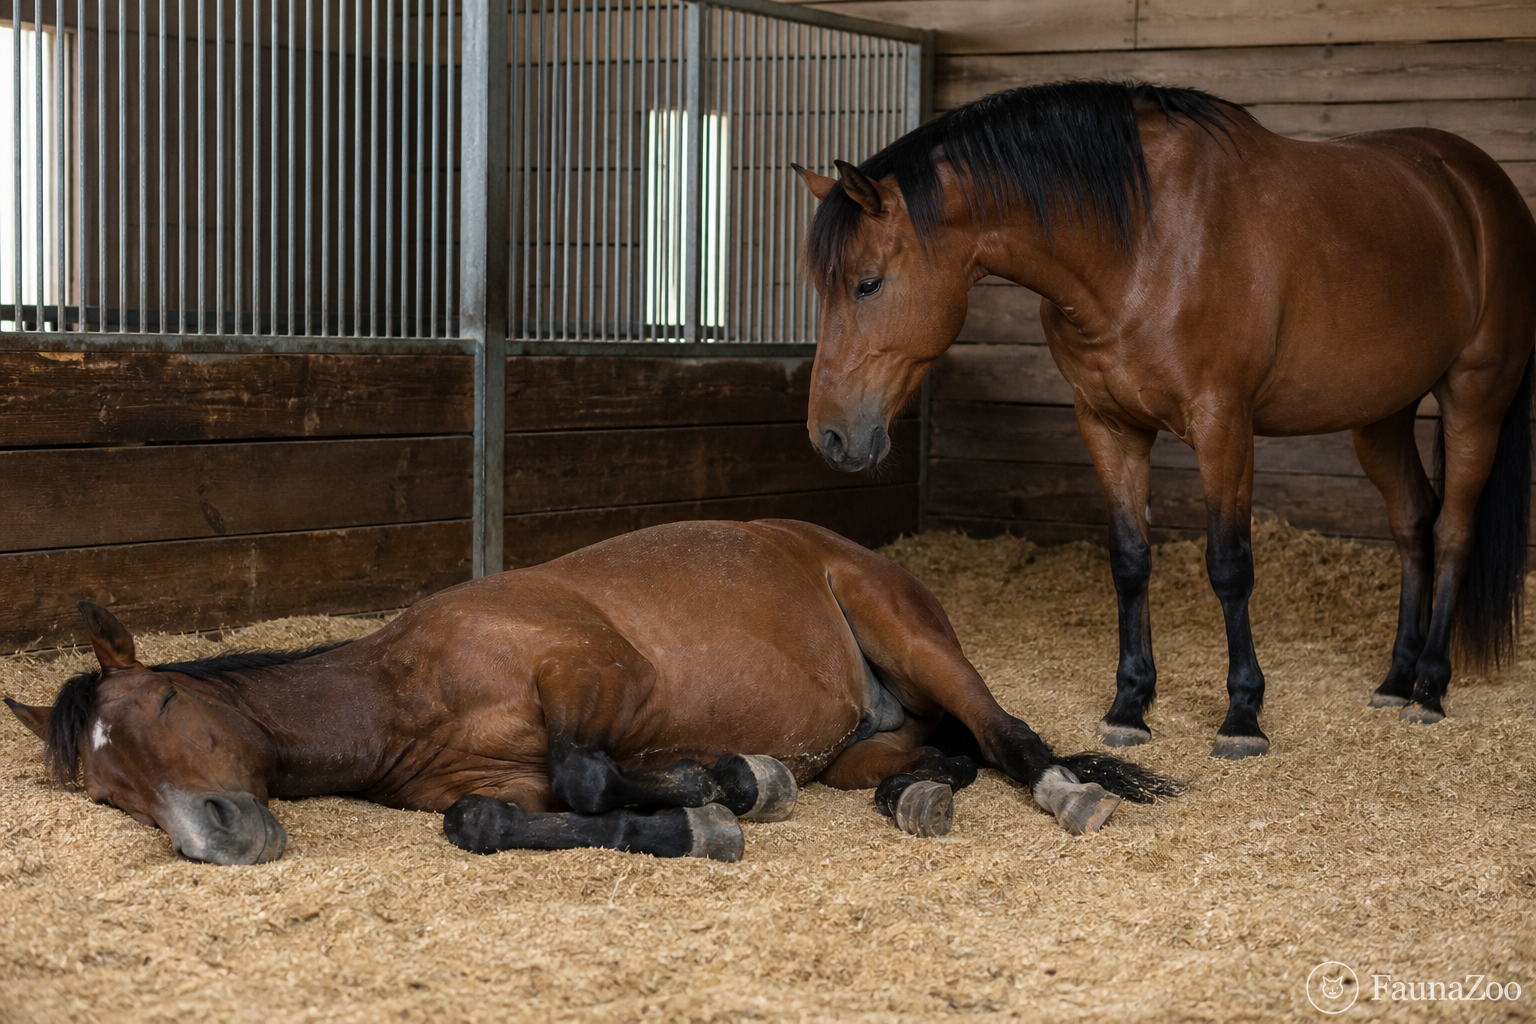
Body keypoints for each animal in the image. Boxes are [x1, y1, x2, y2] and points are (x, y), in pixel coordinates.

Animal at [4, 519, 1176, 865]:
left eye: (163, 707)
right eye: (109, 791)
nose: (213, 835)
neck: (405, 693)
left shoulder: (598, 672)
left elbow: (588, 770)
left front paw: (725, 787)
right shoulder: (489, 790)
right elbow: (496, 820)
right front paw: (704, 809)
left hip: (914, 638)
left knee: (1006, 734)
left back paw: (1072, 792)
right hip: (864, 741)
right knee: (949, 753)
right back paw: (913, 795)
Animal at [792, 80, 1535, 759]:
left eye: (867, 283)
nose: (829, 437)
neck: (1145, 243)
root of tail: (1478, 186)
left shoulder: (1223, 425)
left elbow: (1229, 566)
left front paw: (1242, 716)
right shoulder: (1108, 424)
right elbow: (1130, 560)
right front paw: (1130, 705)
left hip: (1474, 397)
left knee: (1452, 532)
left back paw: (1430, 688)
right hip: (1381, 413)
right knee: (1412, 522)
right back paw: (1395, 679)